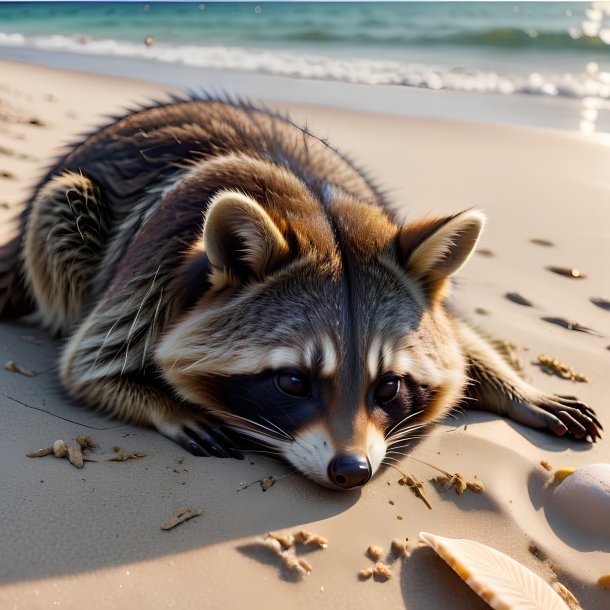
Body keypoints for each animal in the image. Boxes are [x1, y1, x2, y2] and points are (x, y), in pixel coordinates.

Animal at [0, 100, 600, 490]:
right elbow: (85, 366)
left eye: (389, 386)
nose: (352, 471)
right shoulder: (155, 259)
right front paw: (163, 402)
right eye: (292, 381)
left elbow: (462, 339)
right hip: (64, 206)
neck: (313, 202)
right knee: (64, 206)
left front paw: (519, 388)